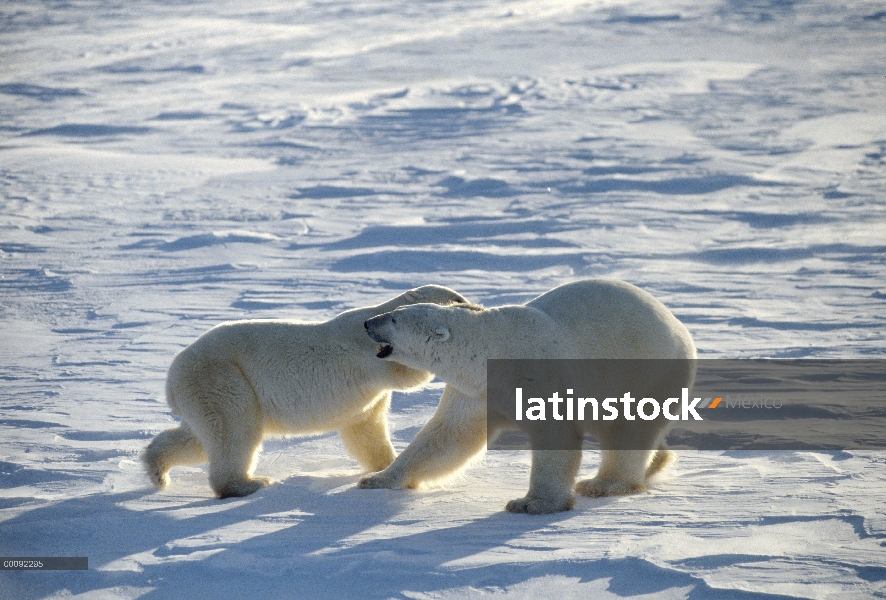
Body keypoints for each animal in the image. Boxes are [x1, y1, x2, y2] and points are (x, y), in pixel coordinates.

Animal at [141, 284, 468, 496]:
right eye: (457, 298)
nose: (470, 304)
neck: (375, 320)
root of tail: (171, 380)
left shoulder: (367, 399)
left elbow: (365, 429)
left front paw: (384, 466)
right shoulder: (366, 356)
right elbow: (405, 374)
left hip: (202, 393)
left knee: (199, 438)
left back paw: (157, 469)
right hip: (225, 379)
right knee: (235, 431)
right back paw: (249, 483)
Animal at [360, 278, 692, 512]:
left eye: (393, 319)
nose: (367, 323)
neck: (493, 348)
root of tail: (678, 324)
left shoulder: (538, 374)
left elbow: (554, 435)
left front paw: (532, 503)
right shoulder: (477, 391)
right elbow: (449, 434)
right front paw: (377, 478)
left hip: (649, 370)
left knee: (628, 427)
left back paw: (604, 484)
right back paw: (655, 463)